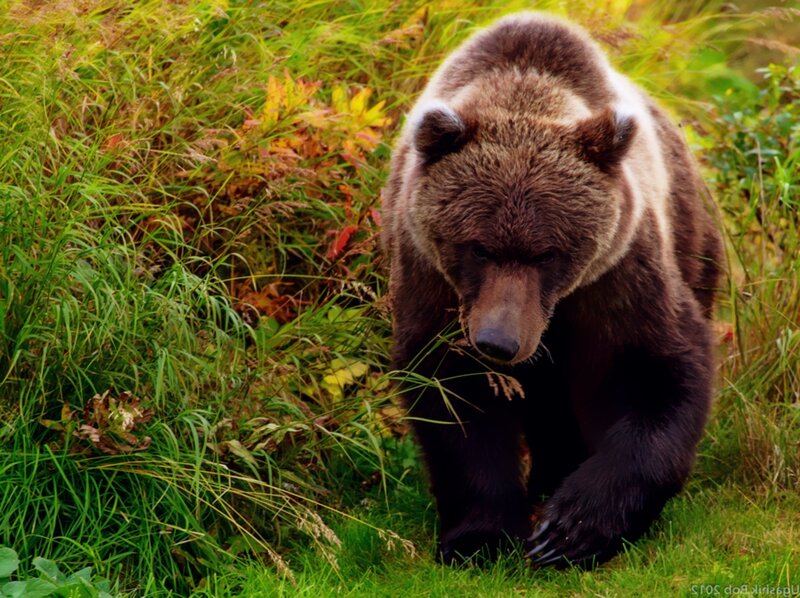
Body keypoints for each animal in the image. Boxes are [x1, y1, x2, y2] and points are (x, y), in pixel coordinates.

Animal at [381, 12, 723, 568]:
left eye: (548, 253)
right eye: (478, 247)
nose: (498, 342)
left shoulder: (619, 274)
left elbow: (658, 370)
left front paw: (569, 531)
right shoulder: (431, 279)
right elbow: (453, 397)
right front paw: (481, 537)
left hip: (694, 236)